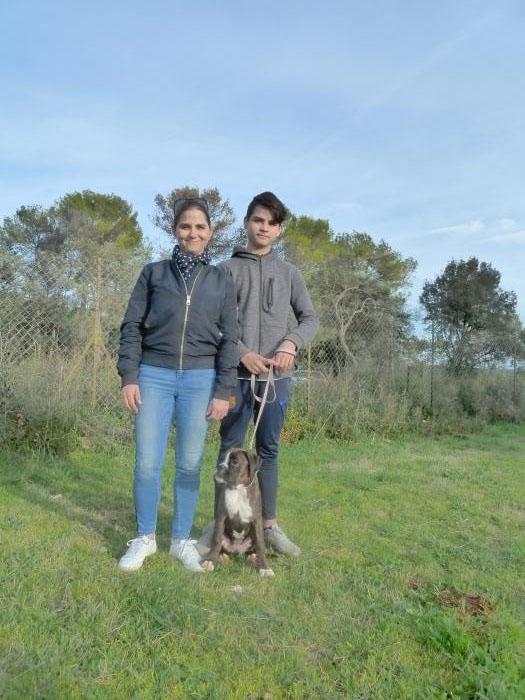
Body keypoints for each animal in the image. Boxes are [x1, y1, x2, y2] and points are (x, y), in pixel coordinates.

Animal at [201, 448, 274, 577]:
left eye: (234, 462)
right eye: (222, 459)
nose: (219, 466)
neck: (238, 489)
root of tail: (237, 550)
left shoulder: (257, 520)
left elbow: (260, 544)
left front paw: (264, 568)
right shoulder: (221, 517)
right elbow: (216, 540)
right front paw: (210, 561)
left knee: (253, 548)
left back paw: (253, 557)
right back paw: (222, 556)